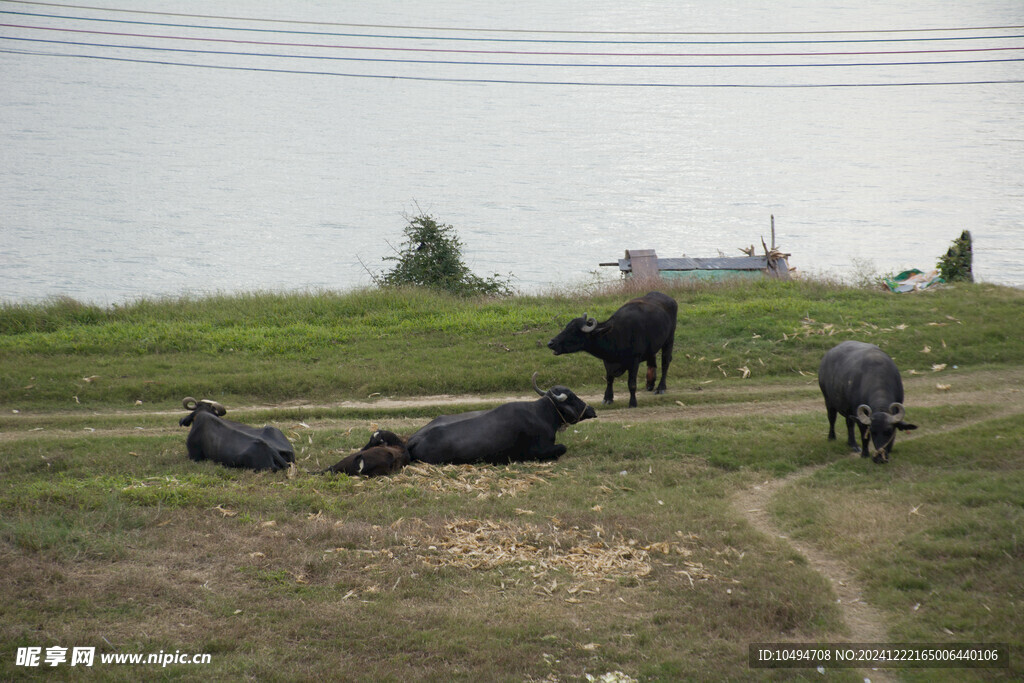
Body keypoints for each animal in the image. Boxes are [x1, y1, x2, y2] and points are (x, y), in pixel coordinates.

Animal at [403, 370, 598, 466]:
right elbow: (562, 448)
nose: (592, 409)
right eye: (572, 397)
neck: (542, 414)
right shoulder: (539, 450)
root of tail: (413, 439)